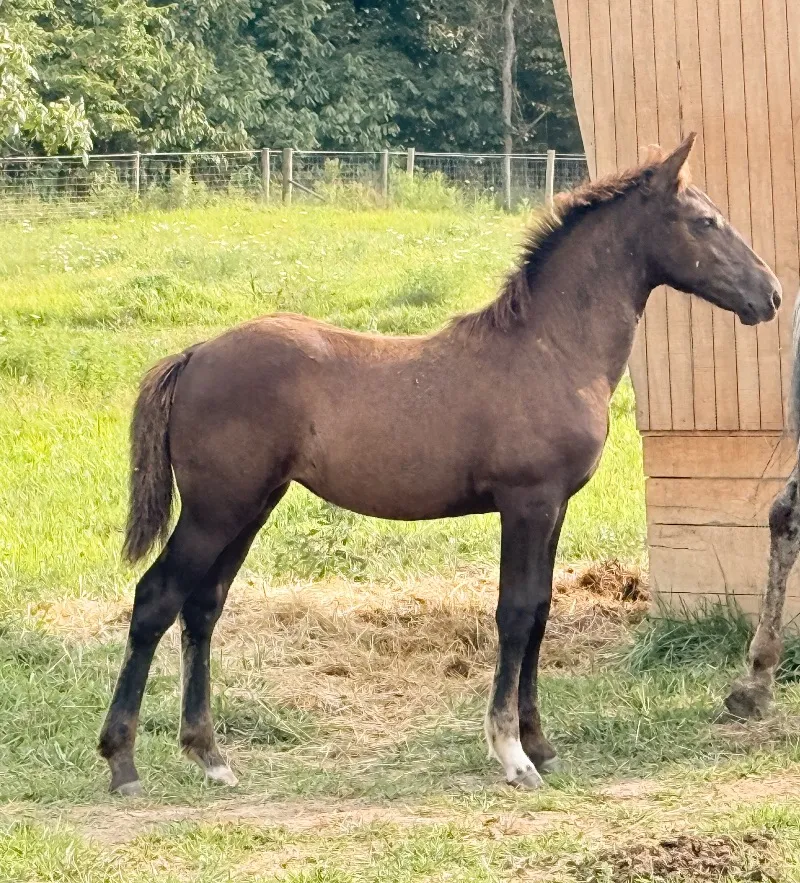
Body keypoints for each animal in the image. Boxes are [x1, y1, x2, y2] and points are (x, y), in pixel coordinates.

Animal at [99, 134, 781, 796]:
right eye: (706, 220)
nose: (770, 295)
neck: (552, 350)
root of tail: (195, 354)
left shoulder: (555, 506)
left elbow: (540, 613)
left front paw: (541, 744)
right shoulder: (527, 503)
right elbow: (514, 613)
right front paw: (512, 754)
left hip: (251, 508)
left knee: (203, 607)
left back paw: (210, 756)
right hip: (216, 510)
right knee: (157, 599)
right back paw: (123, 763)